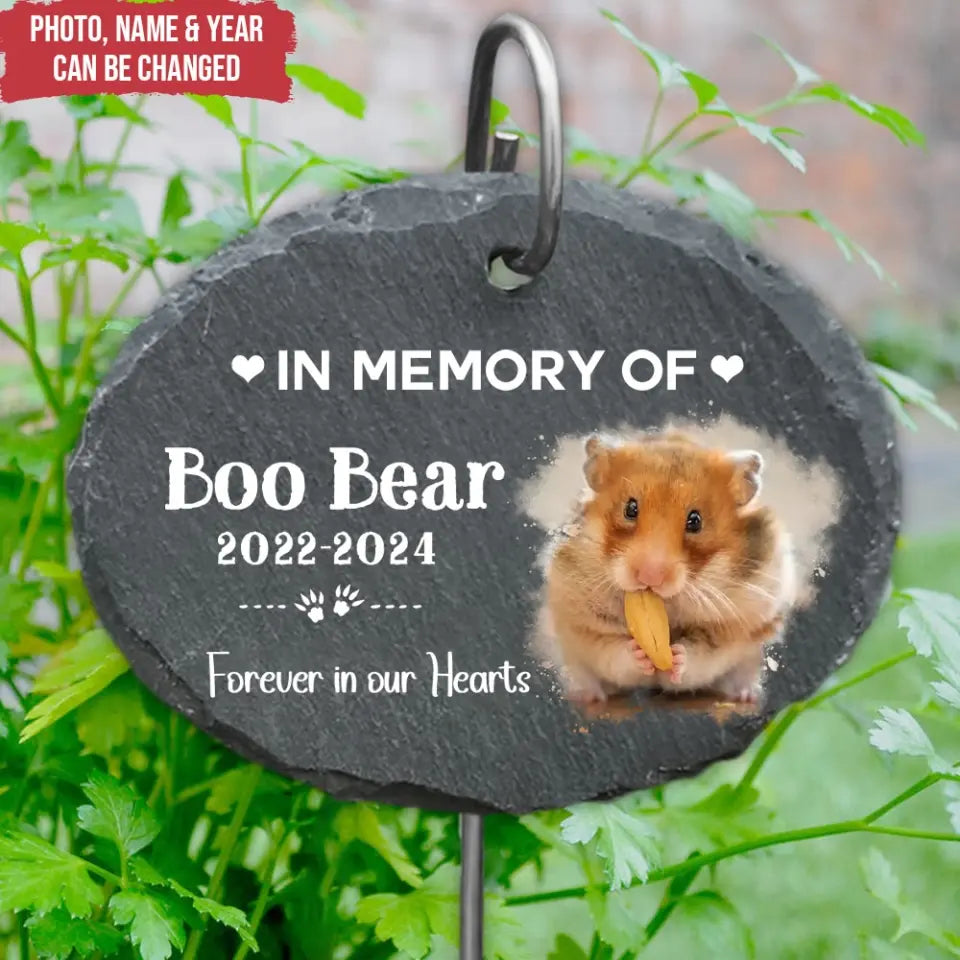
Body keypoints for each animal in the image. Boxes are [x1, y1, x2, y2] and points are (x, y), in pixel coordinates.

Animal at [542, 431, 796, 704]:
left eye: (695, 521)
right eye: (630, 509)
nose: (650, 577)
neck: (667, 606)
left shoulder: (736, 623)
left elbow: (703, 655)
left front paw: (676, 657)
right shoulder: (581, 621)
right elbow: (610, 651)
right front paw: (639, 654)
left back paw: (746, 695)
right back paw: (586, 695)